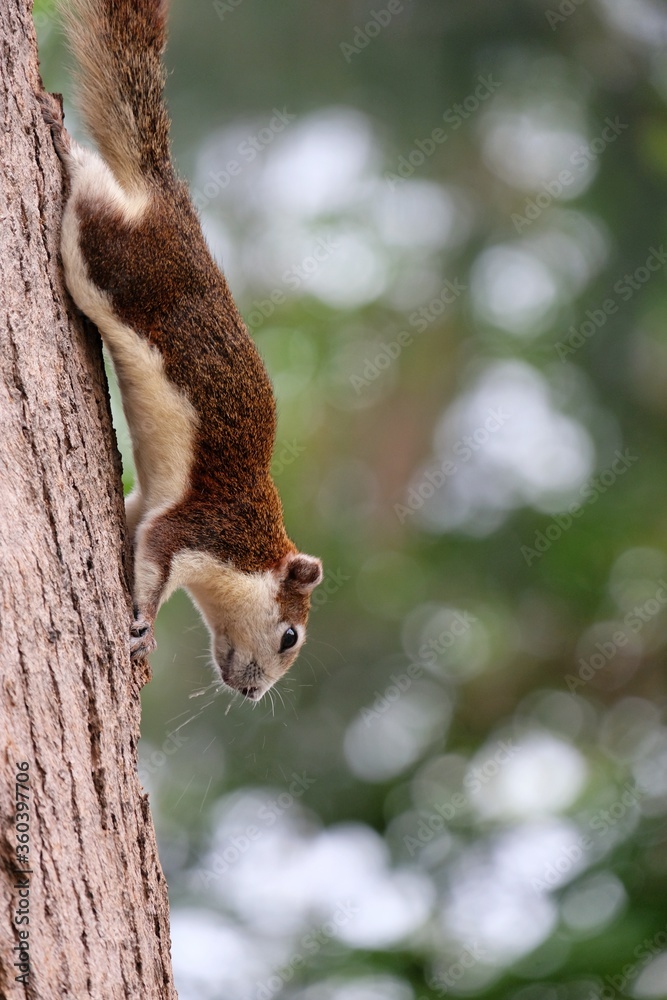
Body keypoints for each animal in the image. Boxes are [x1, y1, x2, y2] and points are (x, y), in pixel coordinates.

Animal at [40, 0, 323, 702]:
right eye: (290, 636)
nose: (251, 693)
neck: (254, 551)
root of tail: (166, 194)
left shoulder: (156, 507)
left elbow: (136, 522)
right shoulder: (203, 531)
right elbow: (154, 562)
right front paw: (142, 626)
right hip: (115, 257)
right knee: (92, 191)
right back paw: (61, 138)